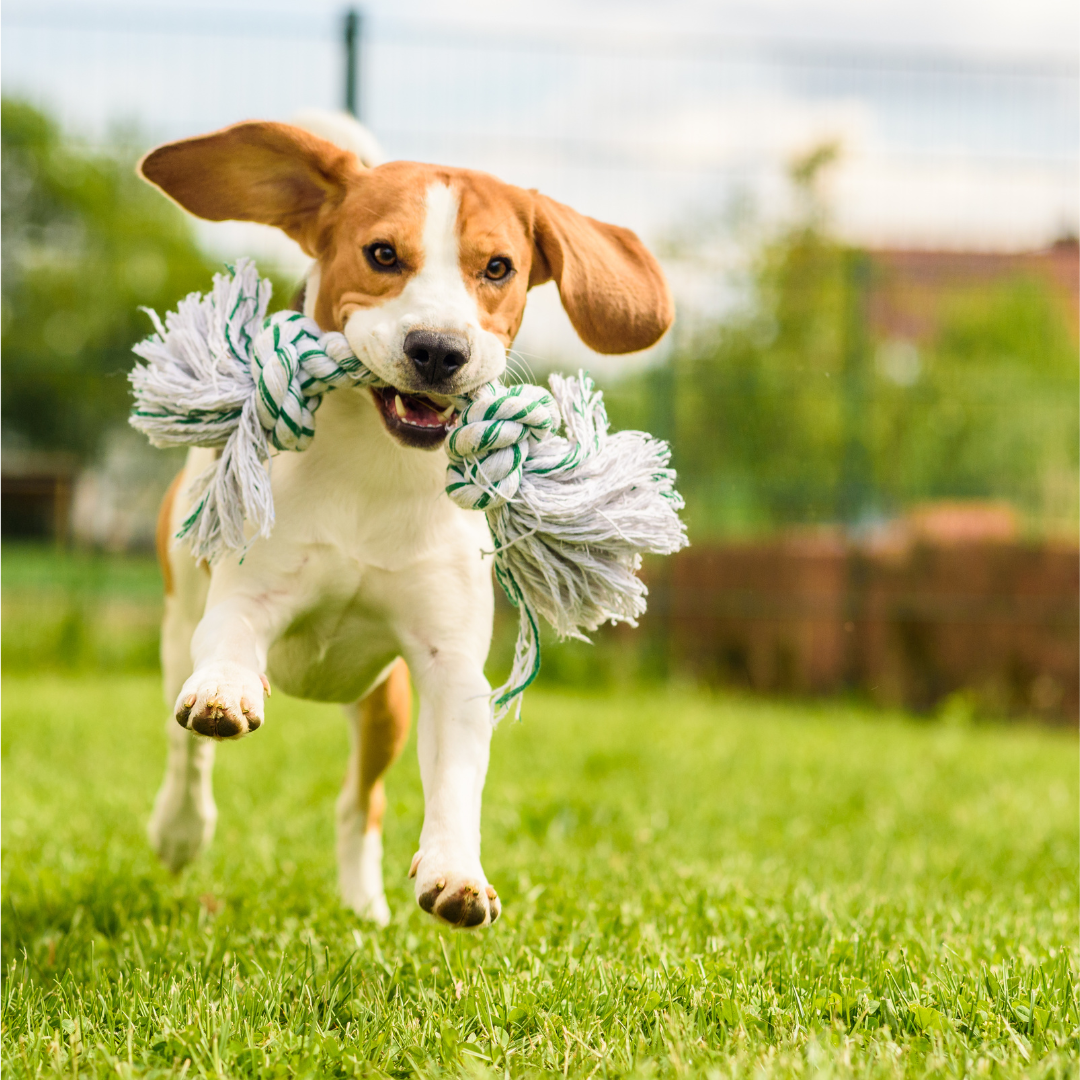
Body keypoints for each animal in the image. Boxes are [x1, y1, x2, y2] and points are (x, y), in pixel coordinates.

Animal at [139, 116, 669, 928]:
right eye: (383, 254)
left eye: (498, 268)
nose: (439, 350)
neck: (376, 475)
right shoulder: (246, 600)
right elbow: (225, 654)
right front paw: (226, 692)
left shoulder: (449, 665)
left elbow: (454, 778)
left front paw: (456, 871)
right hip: (177, 626)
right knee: (187, 752)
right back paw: (180, 827)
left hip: (381, 703)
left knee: (361, 803)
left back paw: (364, 908)